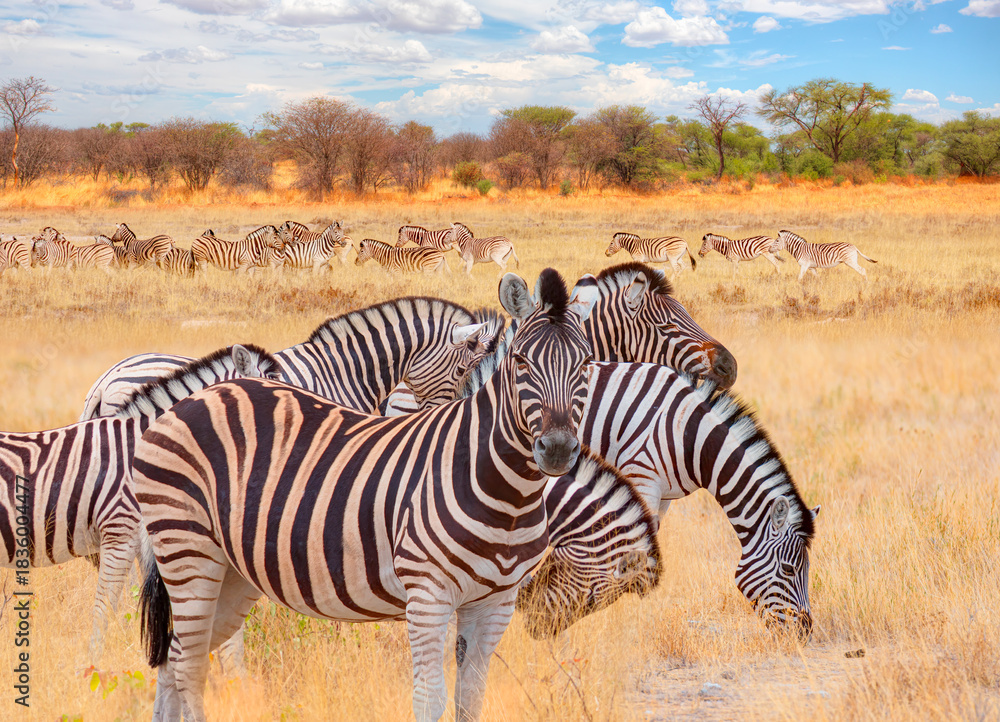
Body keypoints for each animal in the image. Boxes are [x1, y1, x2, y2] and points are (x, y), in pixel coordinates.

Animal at [135, 268, 600, 722]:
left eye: (587, 363)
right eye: (521, 361)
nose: (558, 450)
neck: (509, 496)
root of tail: (200, 395)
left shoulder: (496, 602)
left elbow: (471, 700)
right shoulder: (428, 594)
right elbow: (429, 699)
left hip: (231, 571)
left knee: (174, 657)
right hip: (188, 547)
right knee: (189, 664)